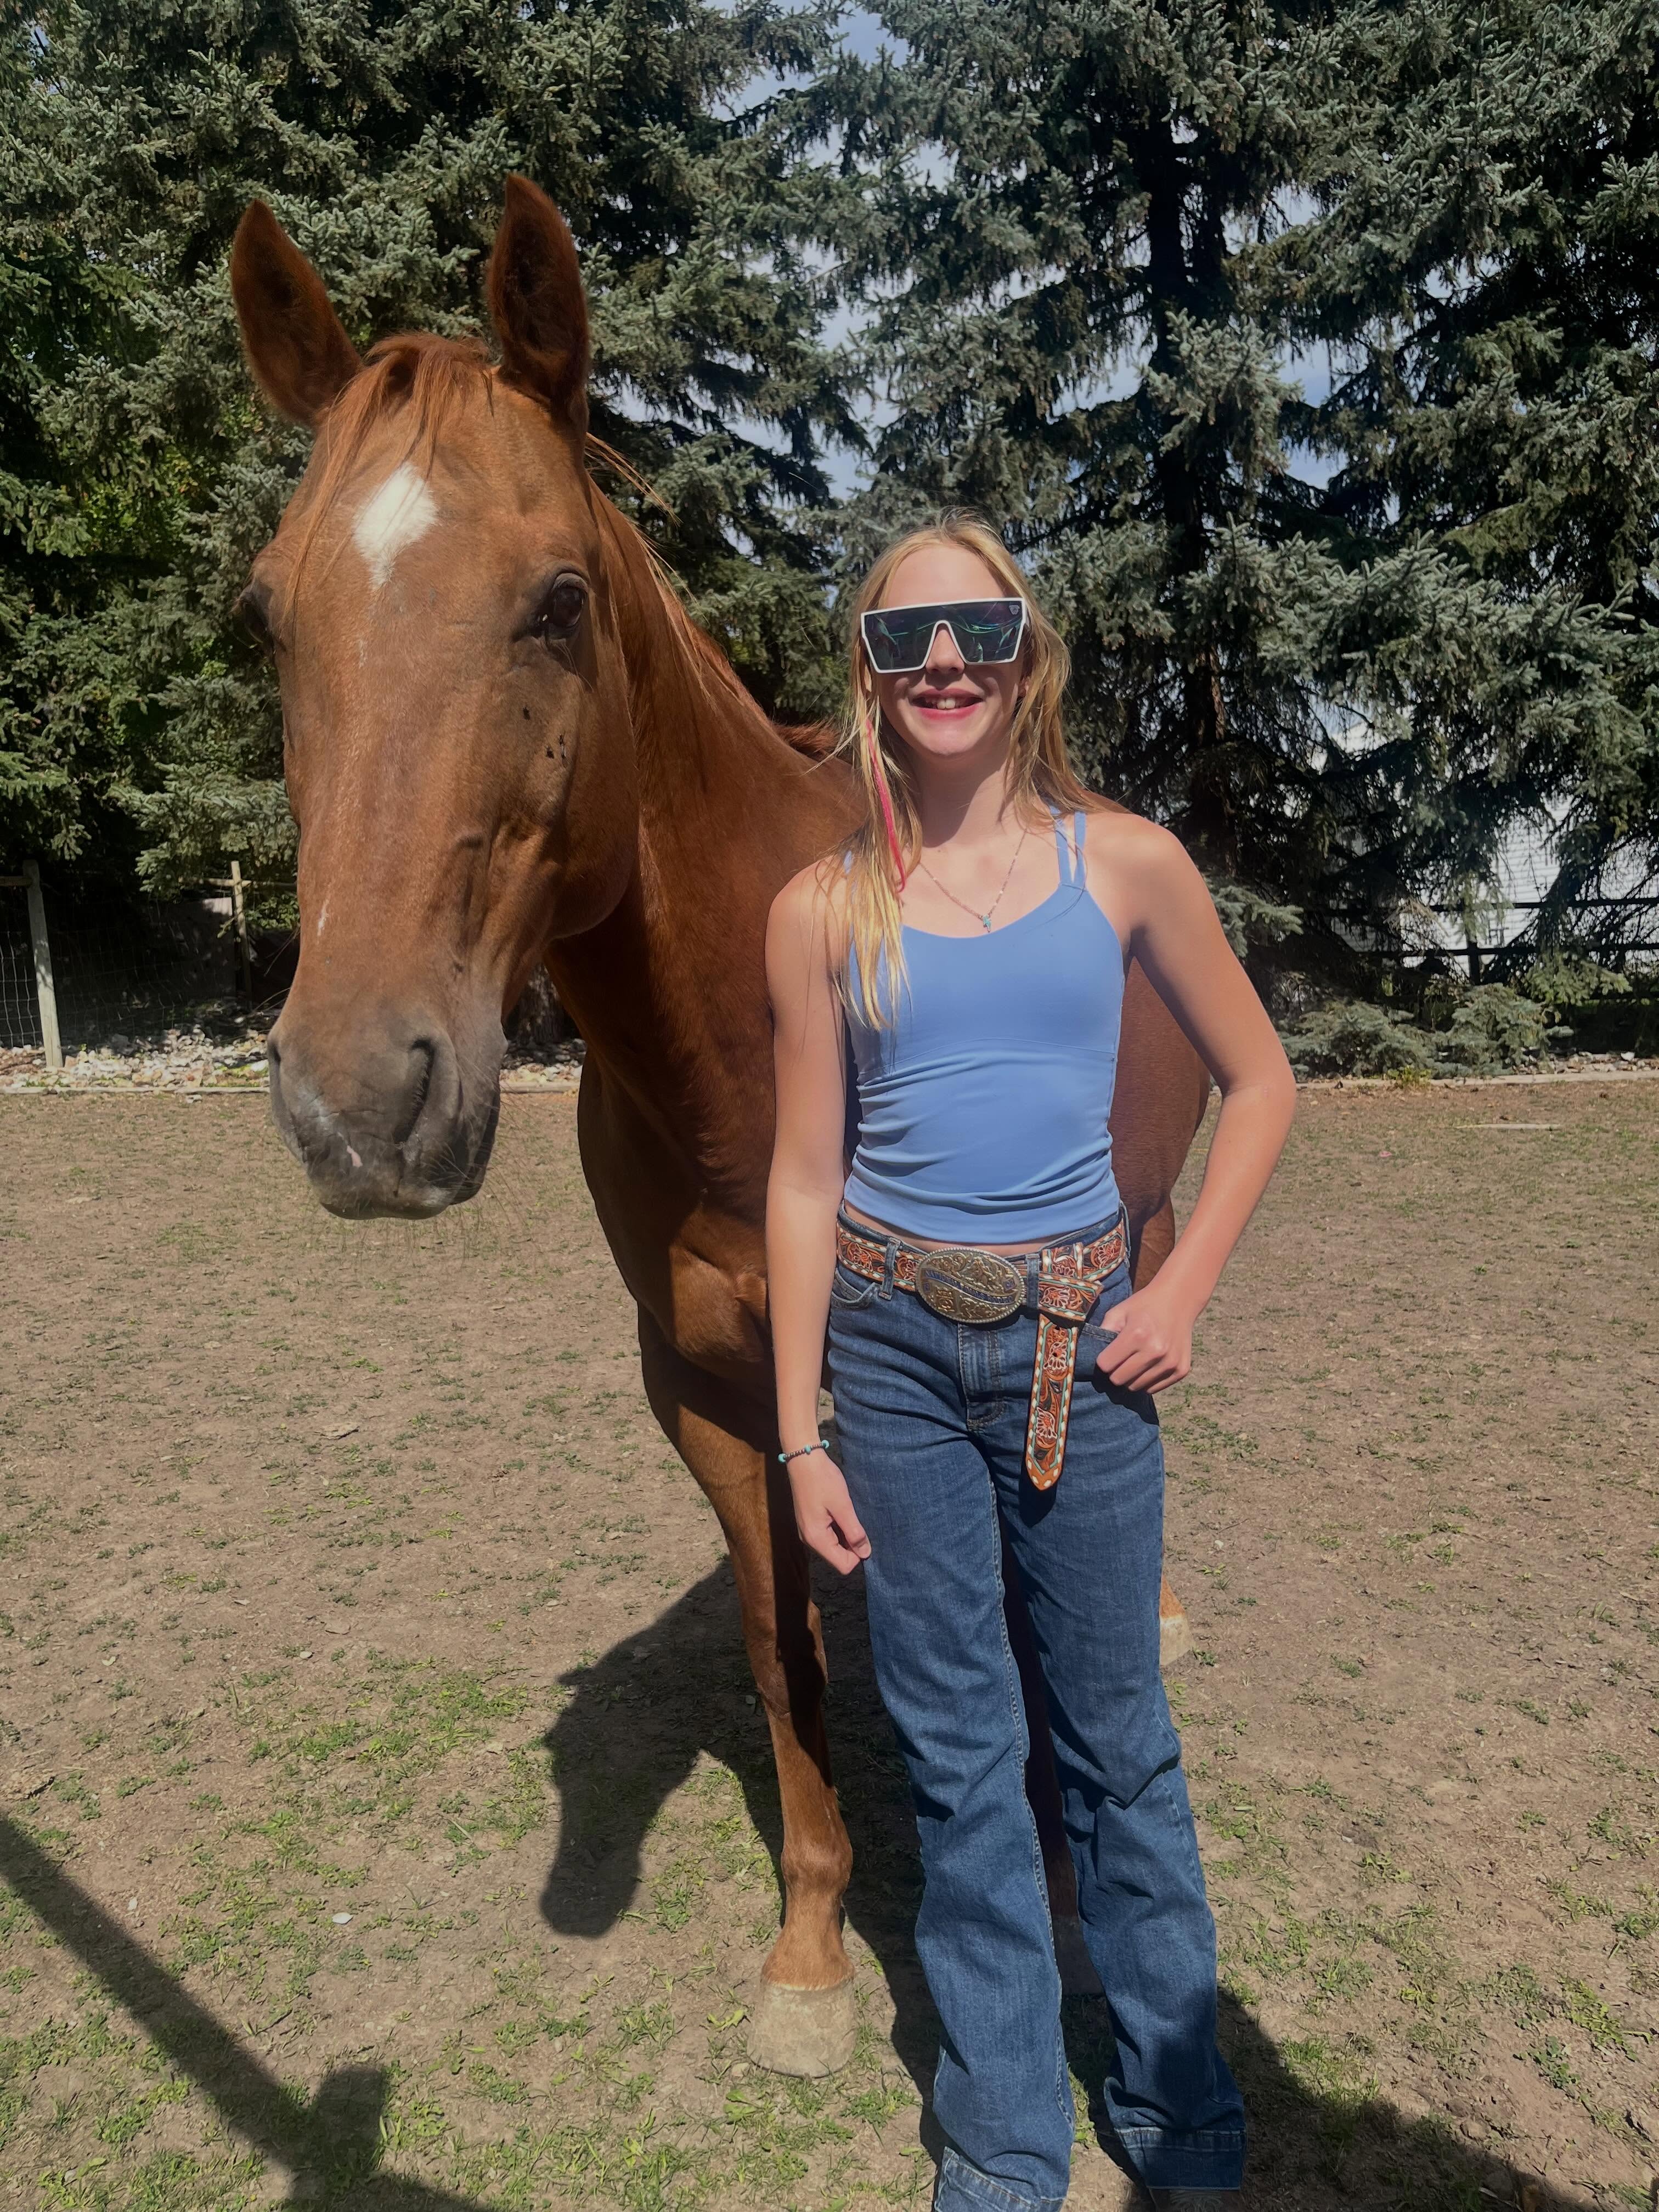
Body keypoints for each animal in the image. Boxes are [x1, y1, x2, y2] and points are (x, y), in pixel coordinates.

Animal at [228, 175, 1212, 2077]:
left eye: (554, 600)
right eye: (268, 617)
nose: (359, 1102)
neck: (741, 1050)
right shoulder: (706, 1390)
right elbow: (780, 1654)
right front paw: (813, 1951)